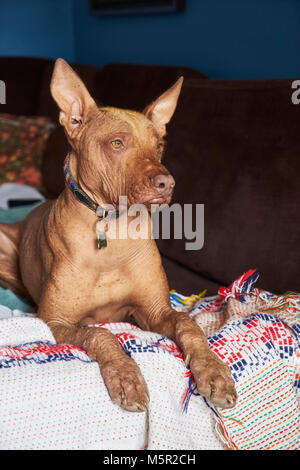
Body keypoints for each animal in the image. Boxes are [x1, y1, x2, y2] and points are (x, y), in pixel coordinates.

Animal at [0, 58, 238, 412]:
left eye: (159, 146)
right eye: (117, 143)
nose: (167, 183)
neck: (112, 233)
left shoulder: (154, 311)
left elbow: (189, 324)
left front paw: (213, 371)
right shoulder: (56, 321)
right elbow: (101, 334)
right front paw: (126, 376)